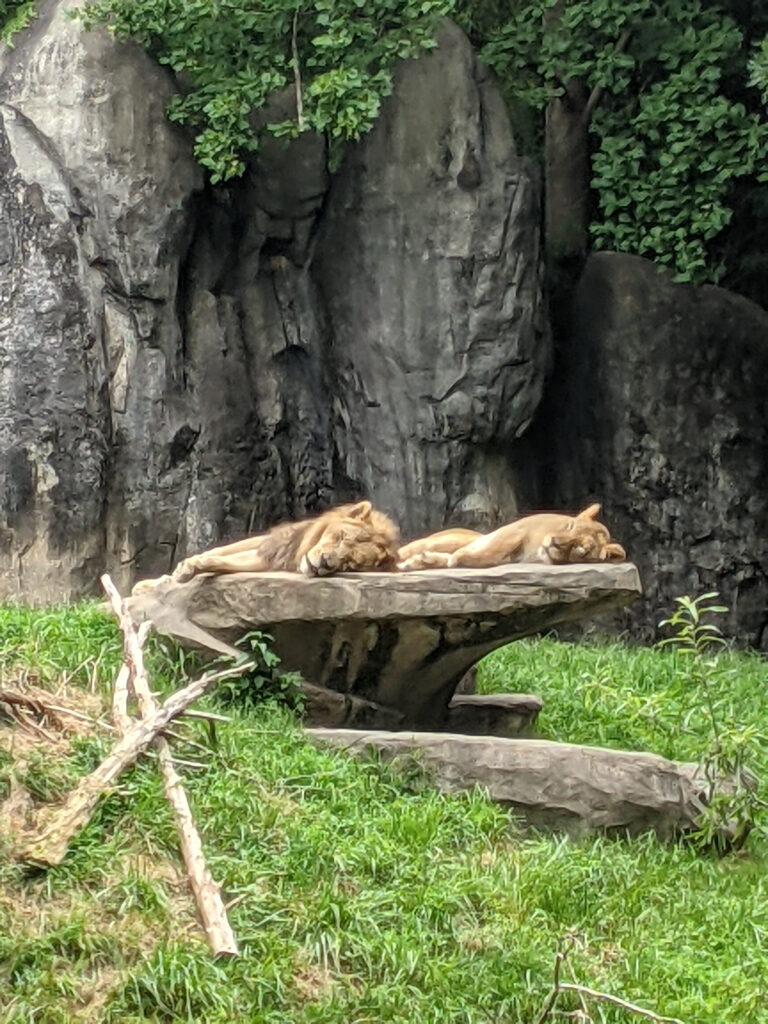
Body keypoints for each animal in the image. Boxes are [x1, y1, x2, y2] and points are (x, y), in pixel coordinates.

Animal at [132, 499, 399, 598]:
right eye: (342, 537)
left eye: (349, 564)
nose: (324, 563)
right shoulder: (271, 543)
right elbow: (217, 552)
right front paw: (164, 578)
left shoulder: (269, 559)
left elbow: (224, 561)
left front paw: (188, 570)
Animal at [397, 505, 626, 573]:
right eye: (570, 527)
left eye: (581, 549)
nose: (553, 542)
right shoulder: (517, 528)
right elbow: (494, 547)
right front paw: (460, 557)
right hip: (443, 539)